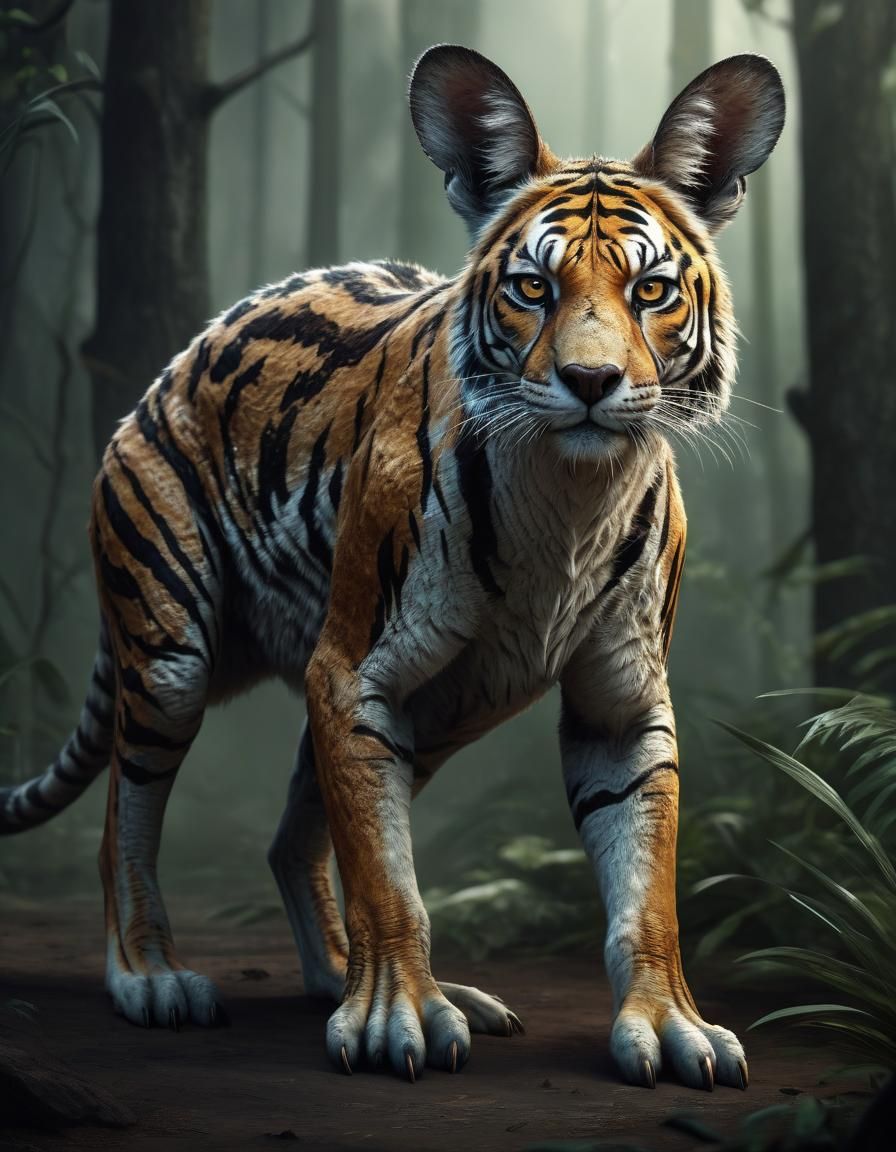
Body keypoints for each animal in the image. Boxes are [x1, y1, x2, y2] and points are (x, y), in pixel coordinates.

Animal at [0, 46, 784, 1088]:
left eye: (650, 293)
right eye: (533, 289)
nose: (590, 382)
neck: (569, 498)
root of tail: (160, 381)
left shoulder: (619, 704)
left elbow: (647, 884)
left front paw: (667, 1024)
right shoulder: (352, 671)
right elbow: (386, 874)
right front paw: (393, 1018)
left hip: (453, 700)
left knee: (290, 835)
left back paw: (341, 976)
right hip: (170, 657)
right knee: (124, 817)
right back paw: (153, 977)